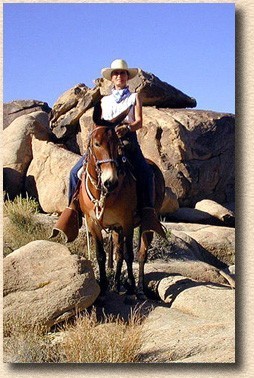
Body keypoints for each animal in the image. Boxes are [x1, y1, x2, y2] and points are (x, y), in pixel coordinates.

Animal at [78, 120, 167, 298]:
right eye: (96, 143)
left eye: (117, 145)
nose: (110, 181)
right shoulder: (93, 223)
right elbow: (101, 255)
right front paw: (103, 287)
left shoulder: (127, 222)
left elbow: (129, 254)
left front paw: (131, 287)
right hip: (116, 229)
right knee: (118, 254)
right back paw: (117, 284)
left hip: (146, 224)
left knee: (141, 254)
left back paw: (139, 289)